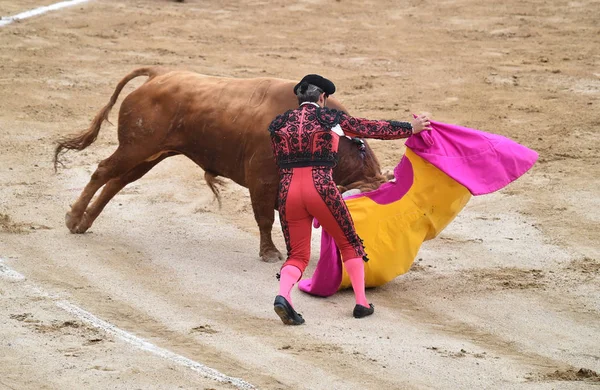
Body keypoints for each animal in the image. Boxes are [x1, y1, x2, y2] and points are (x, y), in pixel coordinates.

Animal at [54, 68, 386, 262]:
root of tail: (159, 74)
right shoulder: (261, 180)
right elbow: (265, 218)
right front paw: (270, 254)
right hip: (136, 147)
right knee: (103, 171)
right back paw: (73, 218)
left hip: (150, 155)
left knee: (116, 182)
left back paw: (84, 222)